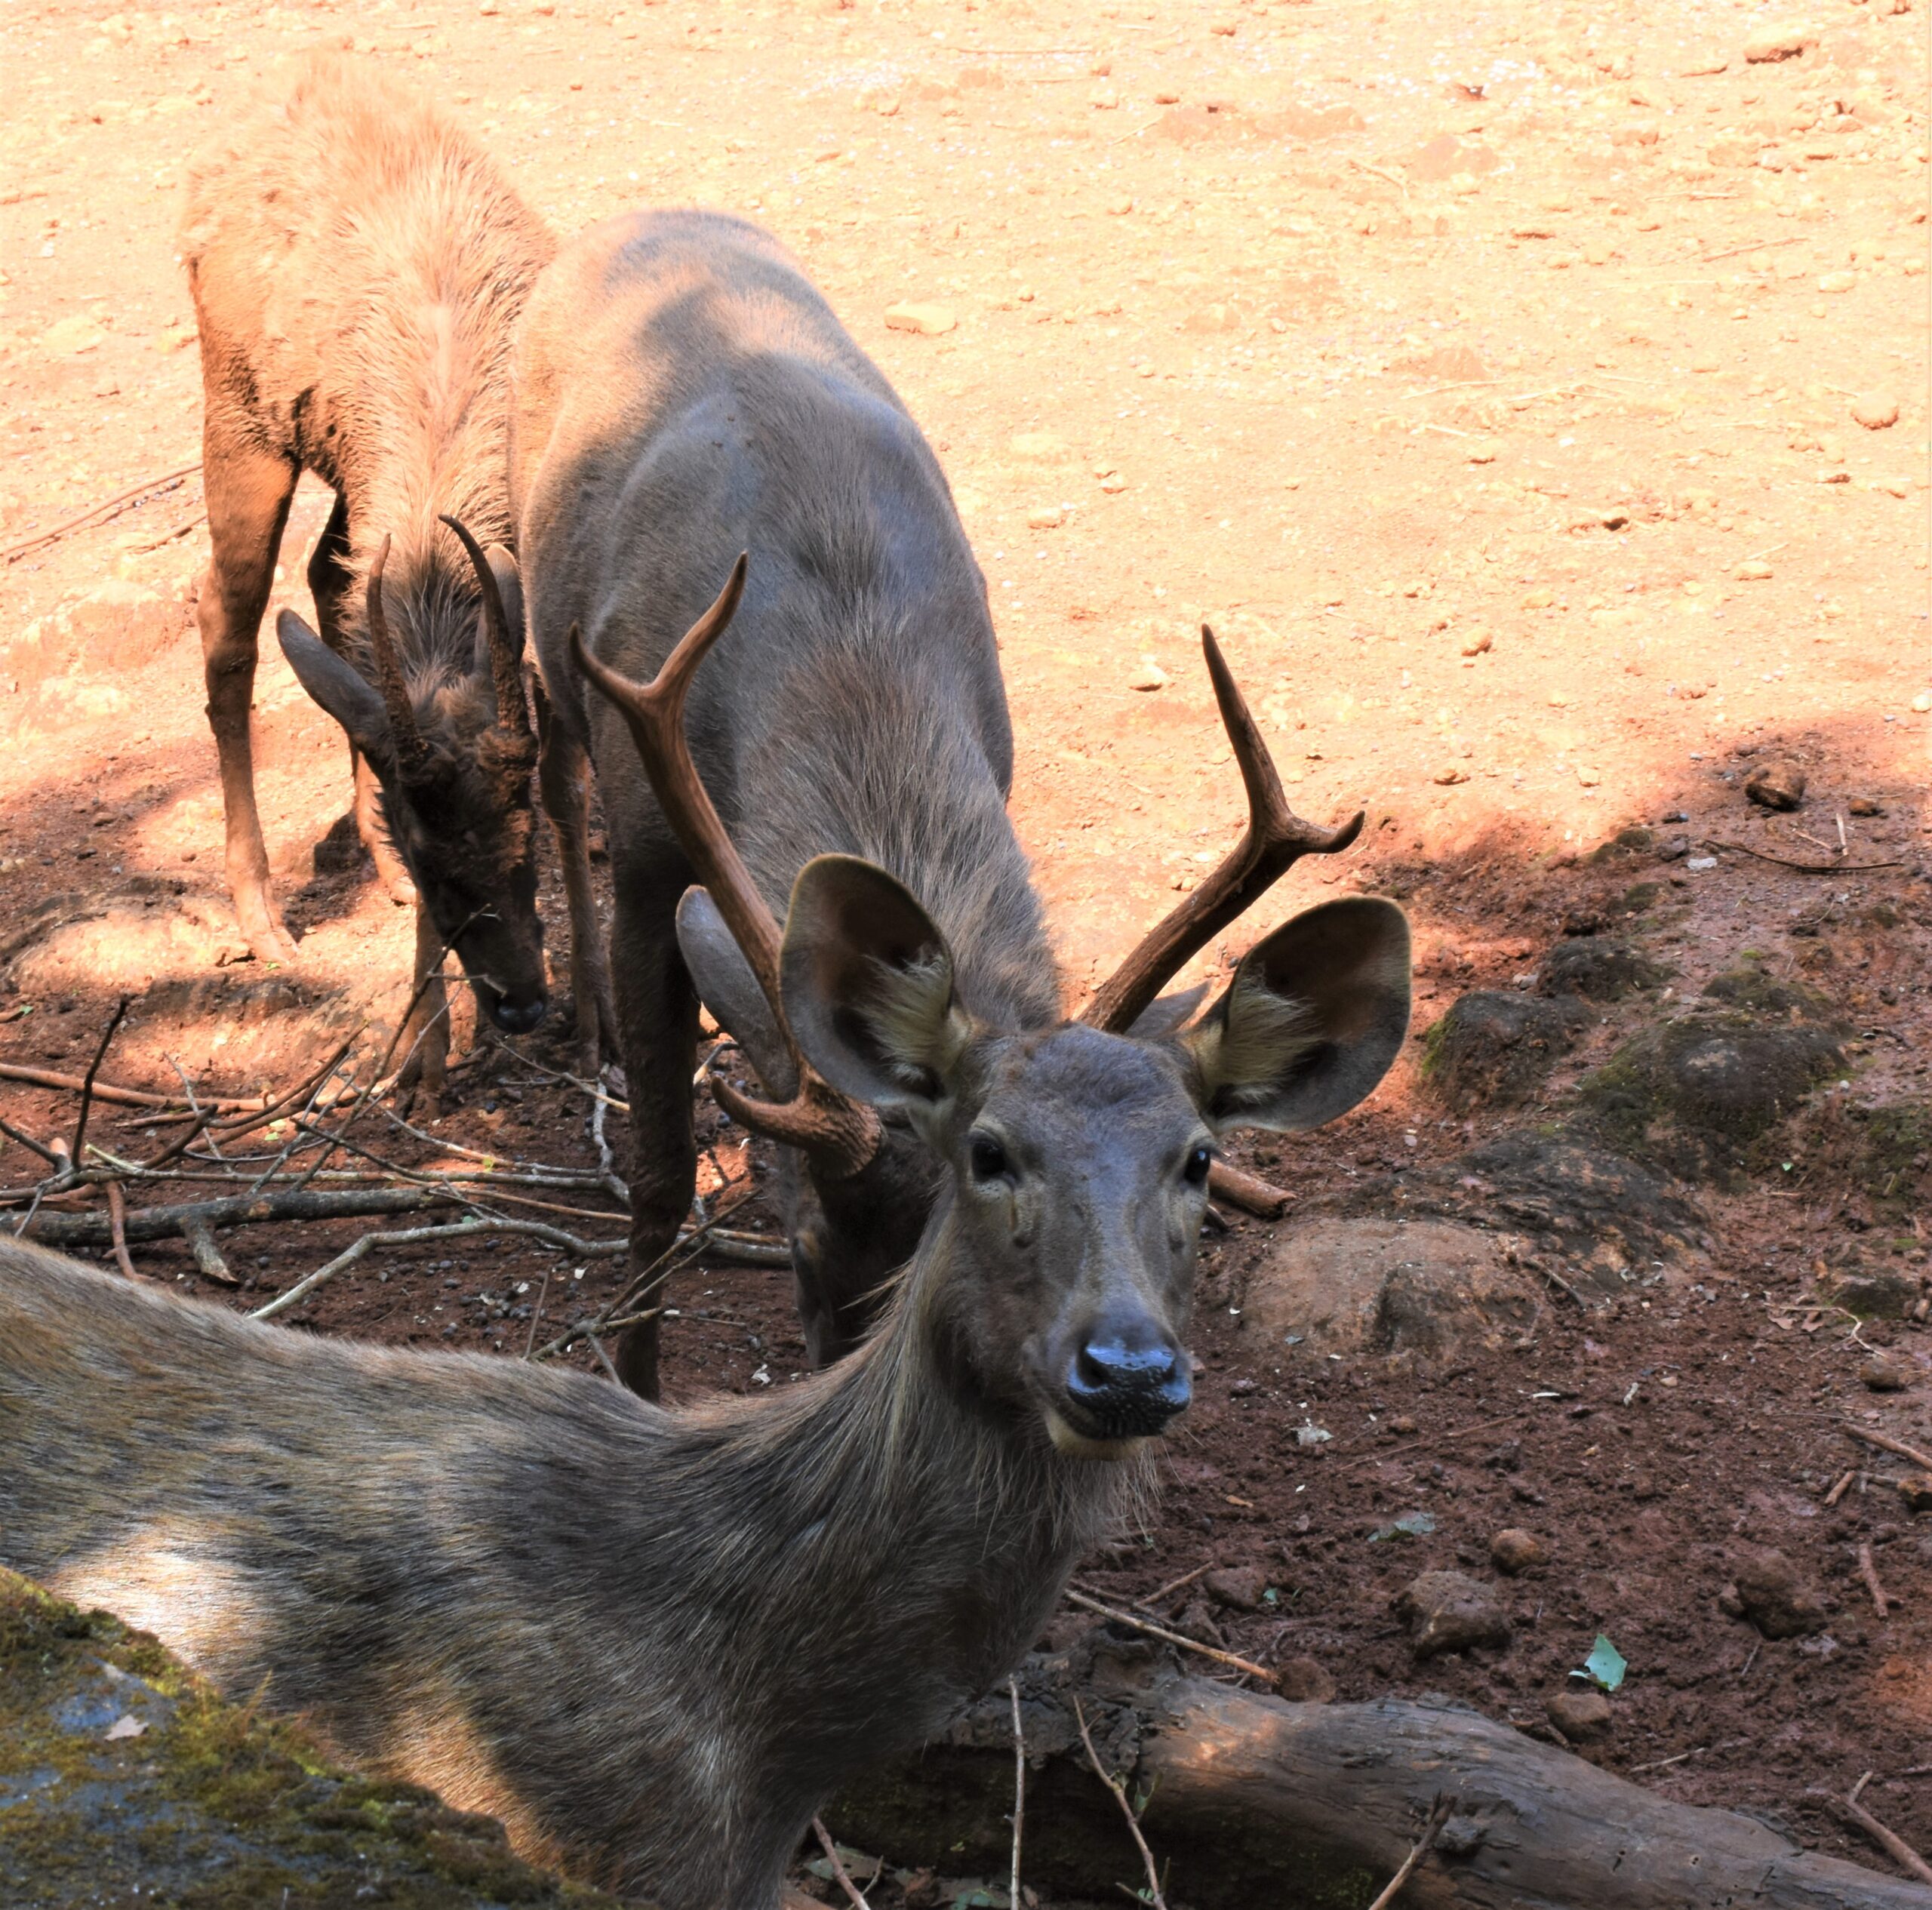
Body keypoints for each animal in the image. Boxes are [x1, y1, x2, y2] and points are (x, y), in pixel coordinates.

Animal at [184, 56, 598, 1089]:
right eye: (433, 855)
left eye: (521, 849)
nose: (521, 1003)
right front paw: (423, 1045)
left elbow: (569, 779)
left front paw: (598, 1016)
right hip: (239, 418)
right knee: (228, 619)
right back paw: (264, 920)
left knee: (328, 591)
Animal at [506, 208, 1367, 1390]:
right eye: (800, 1245)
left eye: (977, 1224)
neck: (843, 646)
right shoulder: (644, 842)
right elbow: (660, 1172)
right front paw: (630, 1379)